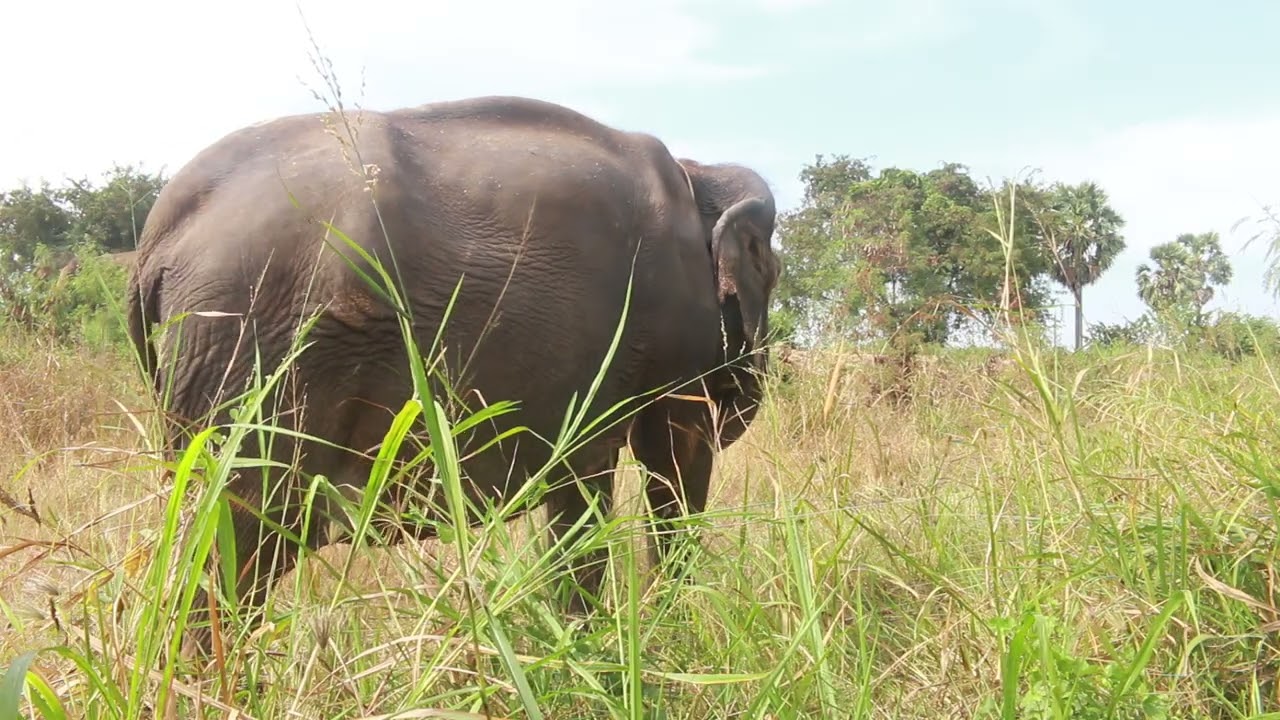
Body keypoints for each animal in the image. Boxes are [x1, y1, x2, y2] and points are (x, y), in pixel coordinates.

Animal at [125, 94, 780, 656]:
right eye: (770, 274)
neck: (698, 174)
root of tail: (153, 240)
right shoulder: (670, 333)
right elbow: (668, 463)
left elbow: (587, 483)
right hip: (246, 355)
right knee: (237, 541)